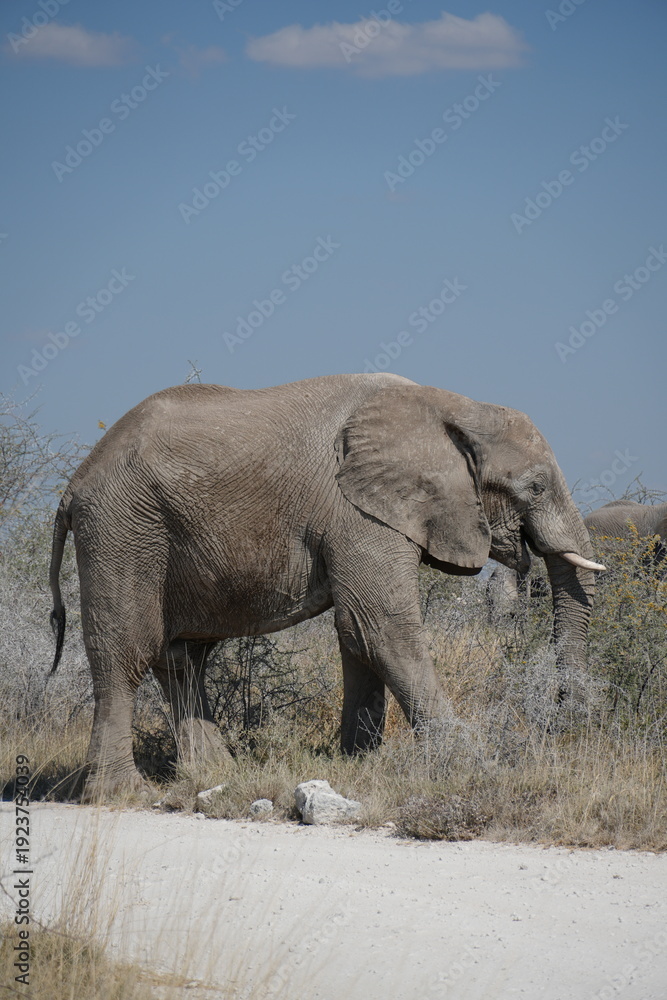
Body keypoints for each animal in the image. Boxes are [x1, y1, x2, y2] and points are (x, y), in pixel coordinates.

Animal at [48, 373, 604, 800]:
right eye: (534, 487)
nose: (563, 716)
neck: (453, 406)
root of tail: (73, 486)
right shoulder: (357, 511)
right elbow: (381, 628)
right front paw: (475, 765)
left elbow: (357, 631)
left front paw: (359, 764)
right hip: (122, 526)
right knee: (127, 653)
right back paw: (120, 794)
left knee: (182, 656)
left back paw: (218, 775)